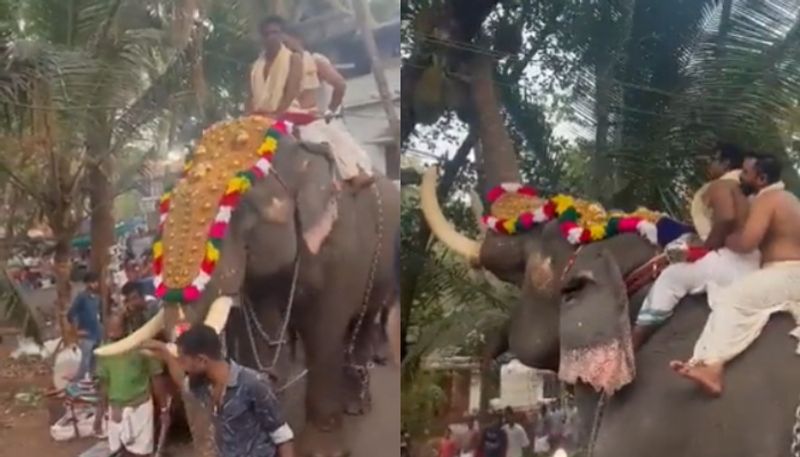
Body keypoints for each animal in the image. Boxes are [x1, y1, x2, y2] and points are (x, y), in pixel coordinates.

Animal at [97, 116, 400, 456]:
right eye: (164, 211)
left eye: (240, 210)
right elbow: (264, 337)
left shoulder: (342, 247)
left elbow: (323, 332)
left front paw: (323, 446)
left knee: (363, 319)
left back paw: (356, 404)